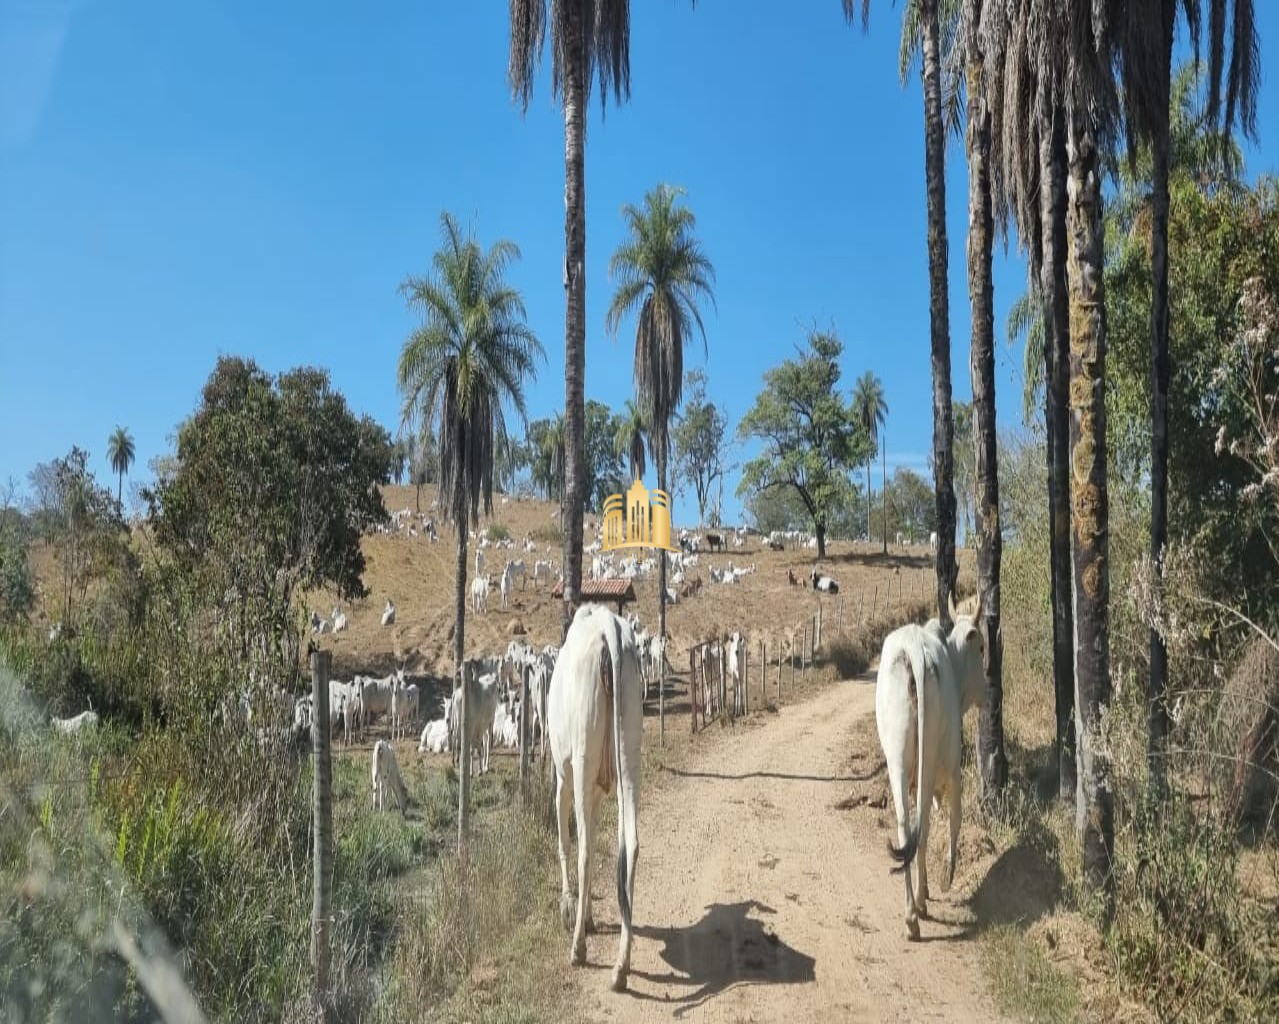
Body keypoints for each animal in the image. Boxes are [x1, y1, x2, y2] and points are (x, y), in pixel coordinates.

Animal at [547, 603, 644, 986]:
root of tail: (608, 627)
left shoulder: (564, 778)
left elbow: (565, 841)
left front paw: (571, 908)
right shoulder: (600, 791)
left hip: (581, 761)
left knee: (585, 850)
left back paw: (578, 948)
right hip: (629, 759)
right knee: (630, 845)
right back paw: (621, 964)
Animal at [879, 603, 987, 940]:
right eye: (981, 647)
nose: (988, 691)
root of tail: (914, 649)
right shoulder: (953, 768)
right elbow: (955, 818)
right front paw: (947, 877)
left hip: (897, 759)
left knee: (906, 826)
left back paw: (910, 914)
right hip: (928, 764)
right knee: (923, 825)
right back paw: (920, 905)